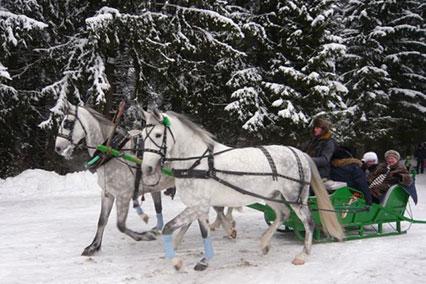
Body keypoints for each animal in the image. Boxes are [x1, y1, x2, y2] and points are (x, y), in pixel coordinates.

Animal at [141, 110, 344, 270]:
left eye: (158, 135)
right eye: (142, 136)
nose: (147, 168)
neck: (198, 162)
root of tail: (300, 153)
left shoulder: (199, 205)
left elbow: (169, 227)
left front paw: (177, 261)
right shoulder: (197, 206)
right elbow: (196, 230)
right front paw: (198, 258)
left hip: (296, 198)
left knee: (308, 223)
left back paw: (303, 254)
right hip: (272, 196)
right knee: (283, 215)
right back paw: (264, 243)